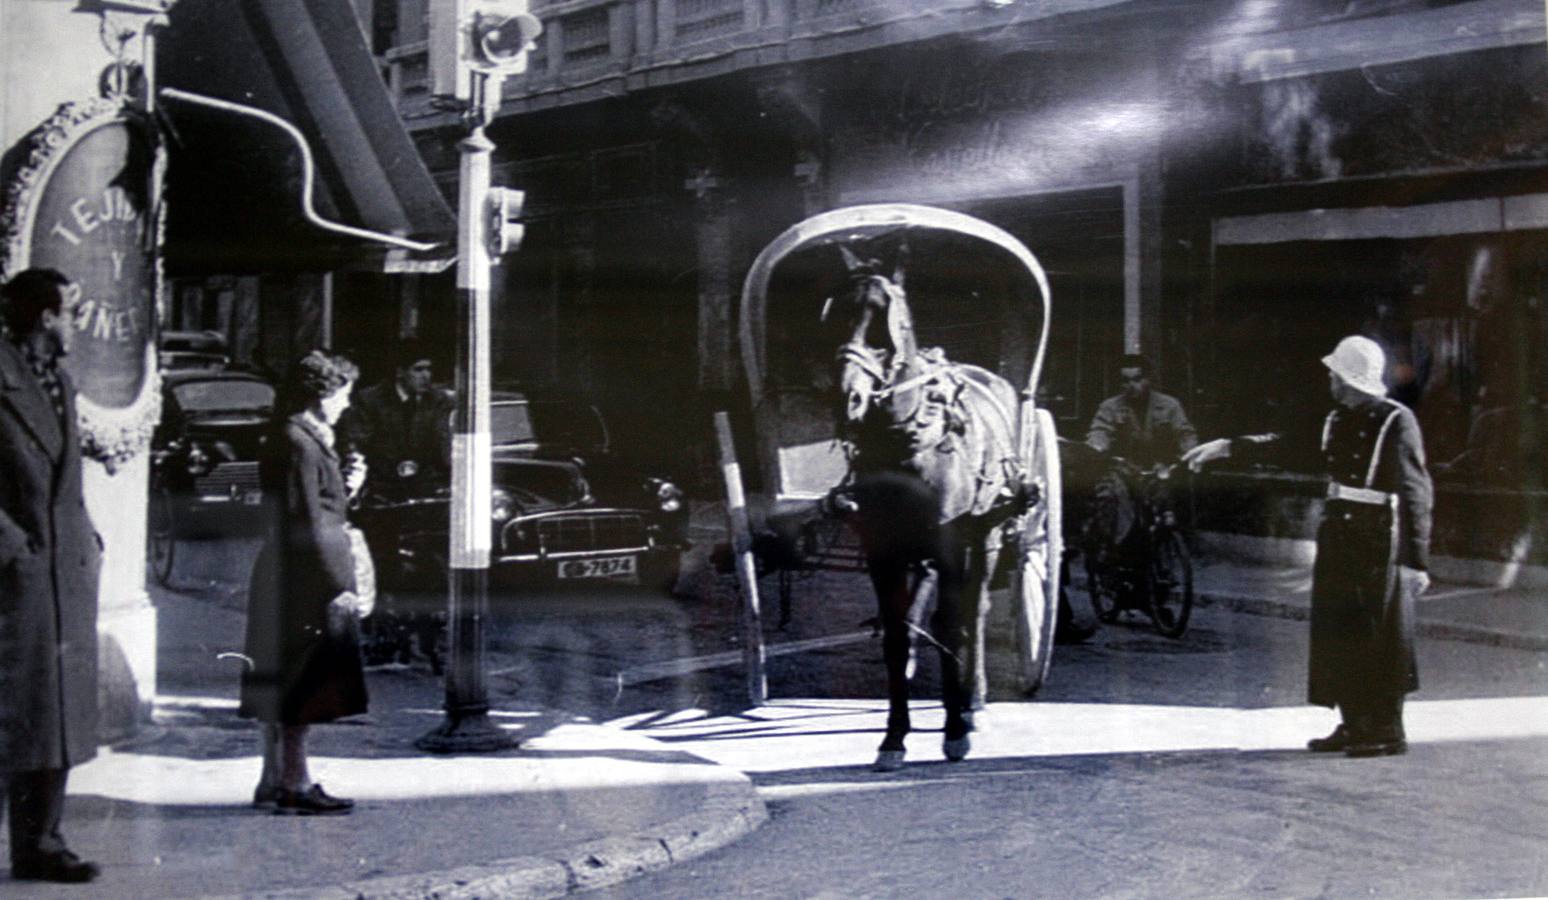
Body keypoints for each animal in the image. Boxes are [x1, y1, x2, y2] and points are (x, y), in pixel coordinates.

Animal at [823, 247, 1027, 771]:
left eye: (885, 322)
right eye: (833, 315)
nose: (848, 398)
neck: (905, 443)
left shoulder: (953, 547)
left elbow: (952, 627)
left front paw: (955, 730)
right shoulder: (884, 553)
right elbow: (897, 635)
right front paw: (894, 736)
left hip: (986, 538)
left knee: (975, 612)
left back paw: (974, 702)